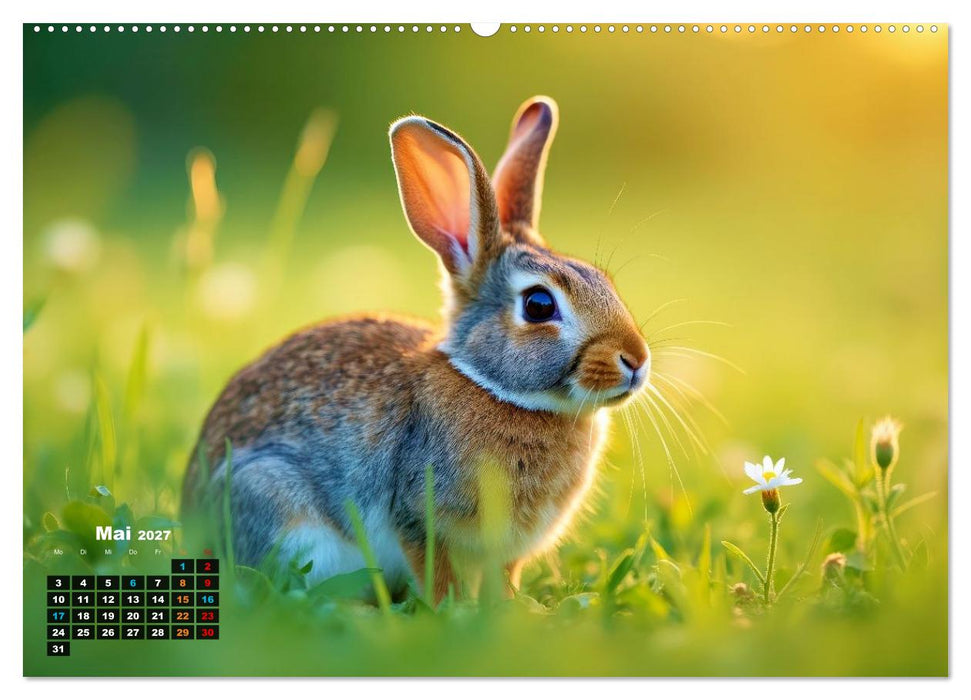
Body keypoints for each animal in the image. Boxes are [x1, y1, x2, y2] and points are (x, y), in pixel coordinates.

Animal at [181, 96, 650, 601]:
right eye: (539, 304)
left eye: (604, 282)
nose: (637, 361)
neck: (493, 387)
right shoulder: (417, 515)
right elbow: (435, 568)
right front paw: (452, 608)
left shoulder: (507, 550)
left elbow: (503, 577)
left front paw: (515, 609)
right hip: (273, 500)